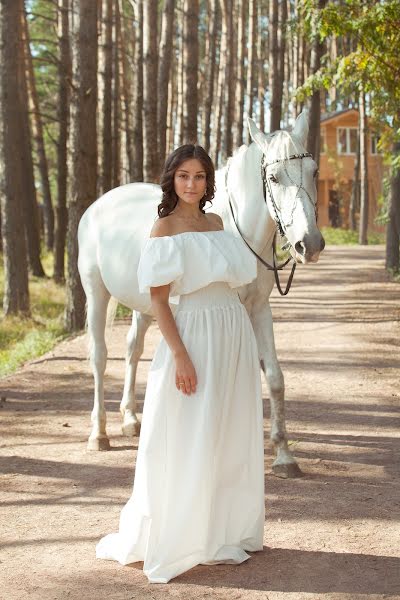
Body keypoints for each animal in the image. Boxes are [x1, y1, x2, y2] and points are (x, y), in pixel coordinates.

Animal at [79, 110, 324, 478]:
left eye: (314, 171)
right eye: (274, 177)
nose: (309, 244)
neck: (235, 231)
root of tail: (97, 205)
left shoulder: (258, 308)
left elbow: (275, 376)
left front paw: (284, 456)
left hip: (144, 305)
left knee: (133, 350)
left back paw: (131, 419)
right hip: (96, 293)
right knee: (99, 356)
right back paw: (99, 433)